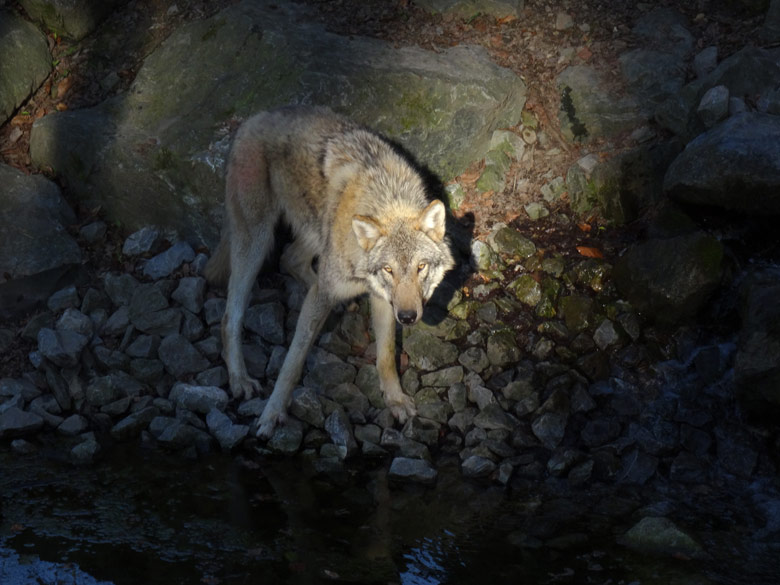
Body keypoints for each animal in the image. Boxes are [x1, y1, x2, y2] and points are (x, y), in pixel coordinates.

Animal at [204, 105, 458, 438]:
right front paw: (272, 414)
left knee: (290, 258)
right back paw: (240, 380)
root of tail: (252, 118)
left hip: (312, 233)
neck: (387, 199)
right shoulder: (332, 294)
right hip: (256, 242)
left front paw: (395, 401)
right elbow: (293, 362)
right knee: (230, 316)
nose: (407, 317)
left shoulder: (381, 299)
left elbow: (386, 356)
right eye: (389, 269)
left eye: (421, 267)